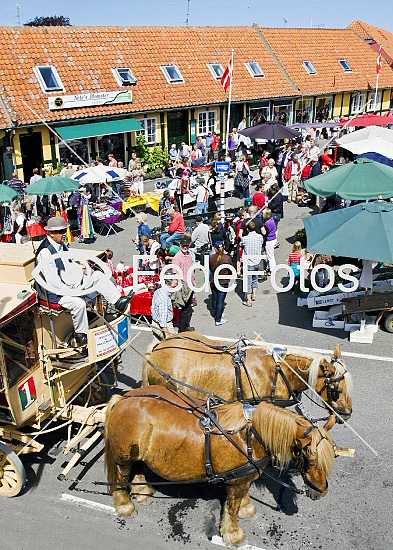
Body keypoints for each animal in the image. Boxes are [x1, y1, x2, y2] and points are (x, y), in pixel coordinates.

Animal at [103, 388, 334, 548]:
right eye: (310, 459)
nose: (321, 491)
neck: (249, 436)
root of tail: (122, 399)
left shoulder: (244, 477)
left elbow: (243, 497)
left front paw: (246, 509)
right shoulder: (236, 481)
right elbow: (231, 509)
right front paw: (233, 535)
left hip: (138, 455)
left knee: (138, 469)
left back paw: (142, 493)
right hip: (123, 458)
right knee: (121, 478)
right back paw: (125, 505)